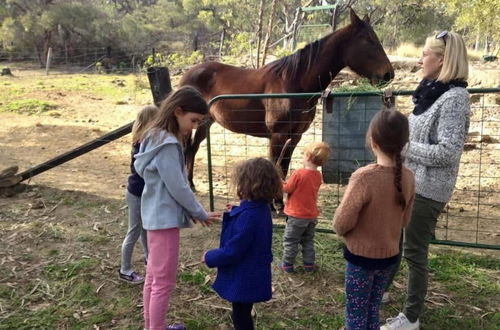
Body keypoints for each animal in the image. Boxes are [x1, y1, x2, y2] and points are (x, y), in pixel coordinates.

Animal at [180, 9, 394, 195]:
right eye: (368, 40)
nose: (388, 74)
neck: (294, 83)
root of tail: (189, 73)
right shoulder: (278, 136)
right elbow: (276, 168)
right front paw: (275, 204)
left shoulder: (295, 136)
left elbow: (283, 168)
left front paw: (282, 206)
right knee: (185, 148)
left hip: (206, 122)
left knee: (193, 148)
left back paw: (191, 184)